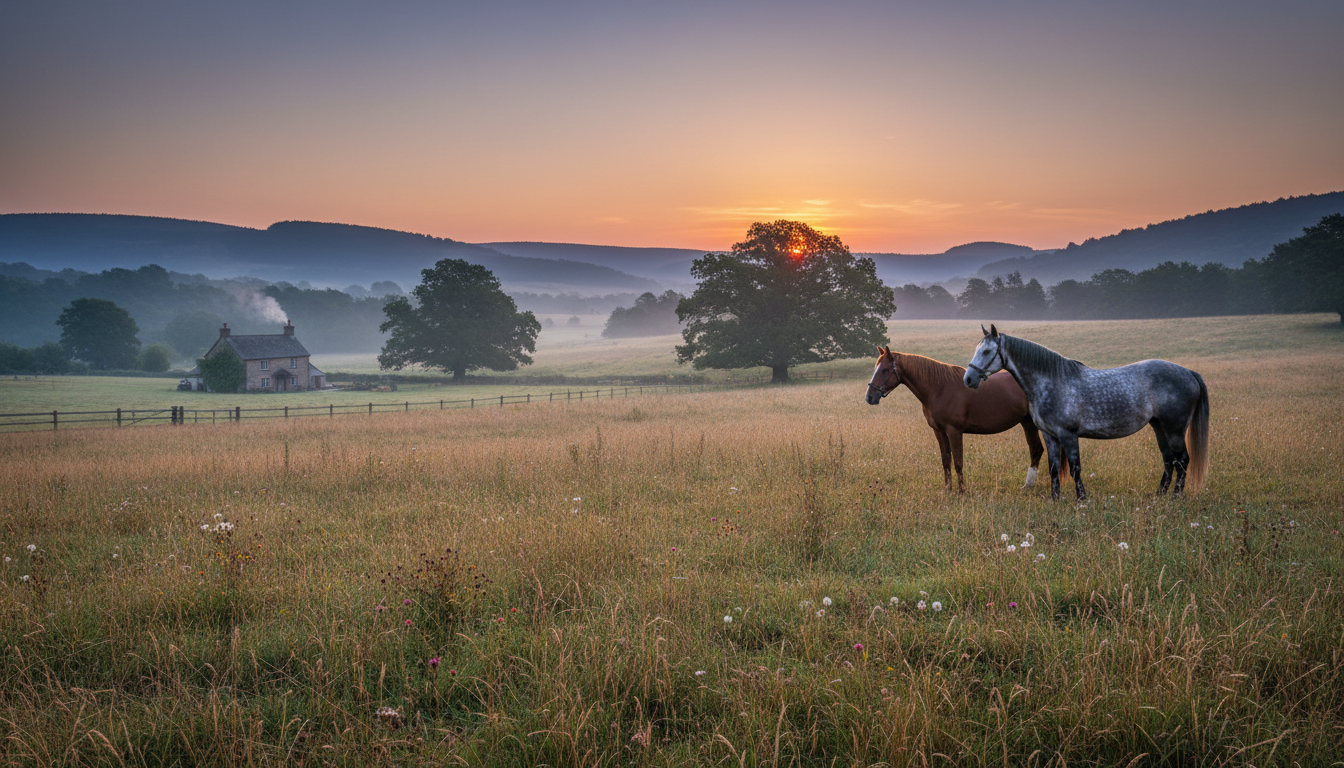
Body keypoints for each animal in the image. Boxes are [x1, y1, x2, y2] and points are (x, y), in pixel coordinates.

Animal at [866, 345, 1046, 492]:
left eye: (884, 370)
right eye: (875, 368)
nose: (869, 397)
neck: (939, 388)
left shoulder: (954, 432)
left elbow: (958, 461)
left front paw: (961, 491)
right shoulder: (939, 431)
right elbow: (946, 460)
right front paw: (948, 489)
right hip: (1027, 422)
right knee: (1036, 449)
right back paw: (1028, 485)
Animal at [962, 324, 1209, 500]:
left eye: (987, 351)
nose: (968, 379)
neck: (1052, 382)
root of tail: (1188, 372)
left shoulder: (1068, 434)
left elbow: (1075, 468)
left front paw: (1081, 498)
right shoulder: (1050, 435)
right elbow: (1053, 468)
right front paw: (1055, 498)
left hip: (1174, 429)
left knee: (1182, 461)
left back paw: (1175, 497)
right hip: (1159, 427)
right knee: (1169, 461)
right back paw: (1159, 495)